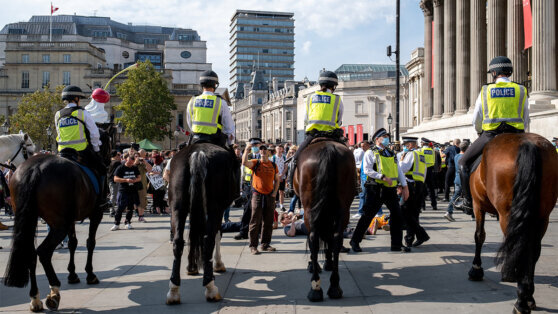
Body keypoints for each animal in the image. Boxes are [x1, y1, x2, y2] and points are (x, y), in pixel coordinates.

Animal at [2, 126, 114, 312]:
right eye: (108, 142)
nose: (108, 162)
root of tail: (35, 168)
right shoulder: (95, 214)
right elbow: (90, 242)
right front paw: (90, 274)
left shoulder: (71, 219)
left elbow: (73, 243)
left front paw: (73, 274)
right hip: (59, 224)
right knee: (43, 252)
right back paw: (54, 292)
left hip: (33, 219)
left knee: (31, 253)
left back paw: (35, 298)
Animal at [164, 142, 238, 304]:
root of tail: (198, 152)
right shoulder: (218, 210)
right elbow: (217, 234)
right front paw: (217, 264)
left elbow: (194, 235)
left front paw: (192, 266)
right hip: (215, 208)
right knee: (208, 240)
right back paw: (210, 287)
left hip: (177, 207)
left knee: (178, 242)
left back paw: (173, 290)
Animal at [296, 139, 356, 302]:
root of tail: (328, 148)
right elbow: (328, 236)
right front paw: (328, 261)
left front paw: (314, 263)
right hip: (343, 207)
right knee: (336, 238)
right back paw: (334, 286)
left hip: (309, 208)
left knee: (314, 238)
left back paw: (315, 287)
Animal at [470, 133, 556, 314]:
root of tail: (528, 143)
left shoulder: (477, 204)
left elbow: (479, 236)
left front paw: (476, 269)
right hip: (542, 216)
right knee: (532, 249)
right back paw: (528, 296)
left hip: (507, 213)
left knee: (519, 247)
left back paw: (521, 302)